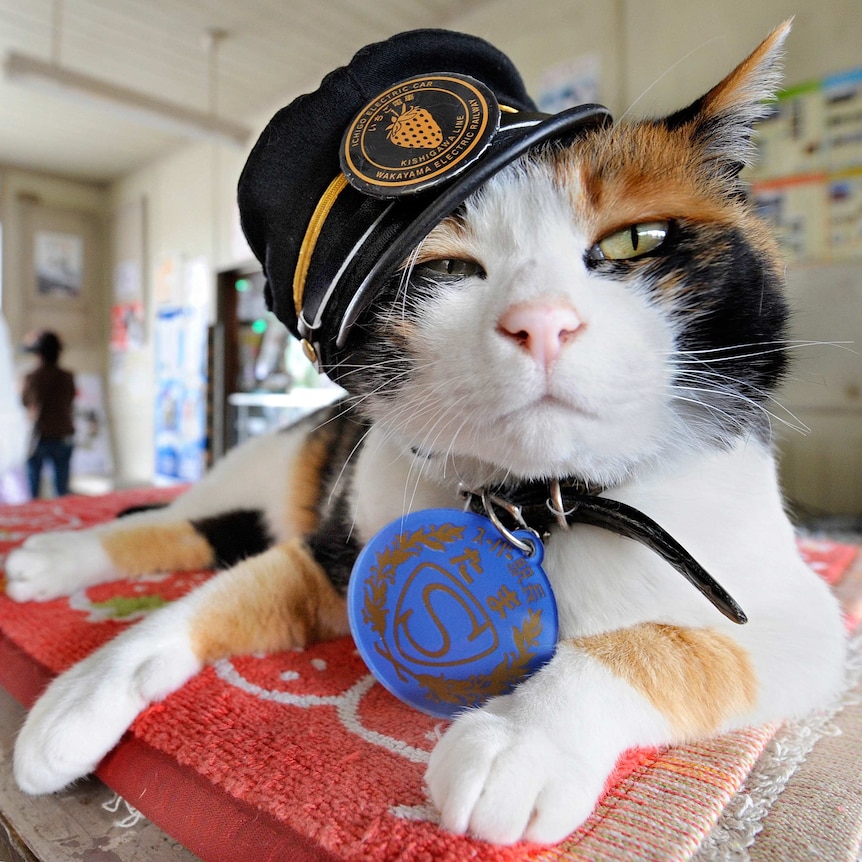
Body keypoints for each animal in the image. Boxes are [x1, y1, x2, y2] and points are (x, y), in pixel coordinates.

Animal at [3, 22, 848, 852]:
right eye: (446, 270)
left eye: (636, 240)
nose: (541, 321)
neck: (541, 506)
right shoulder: (336, 548)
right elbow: (203, 604)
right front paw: (81, 693)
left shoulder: (805, 619)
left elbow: (672, 646)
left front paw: (521, 743)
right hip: (261, 460)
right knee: (182, 519)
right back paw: (54, 556)